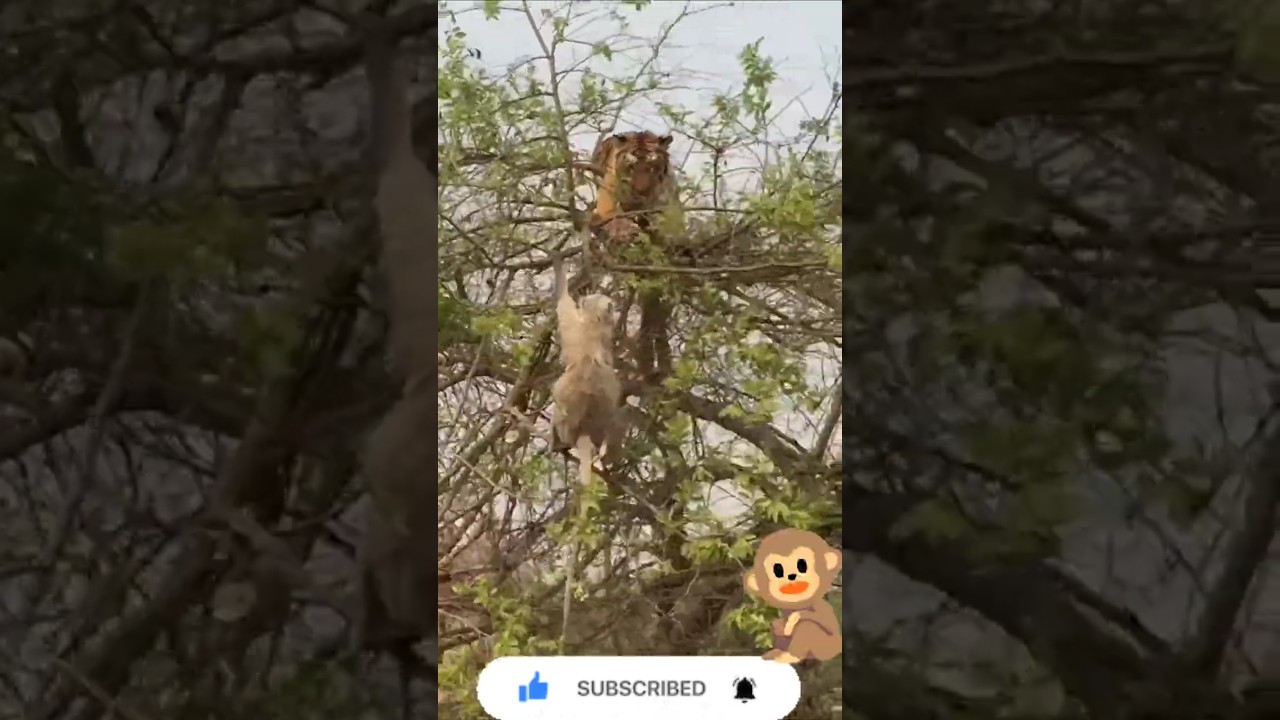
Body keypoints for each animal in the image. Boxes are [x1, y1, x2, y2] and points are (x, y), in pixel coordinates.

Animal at [742, 528, 842, 664]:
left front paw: (793, 619)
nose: (791, 575)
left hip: (827, 648)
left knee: (807, 625)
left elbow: (825, 623)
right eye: (778, 570)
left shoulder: (820, 606)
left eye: (802, 565)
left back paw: (791, 655)